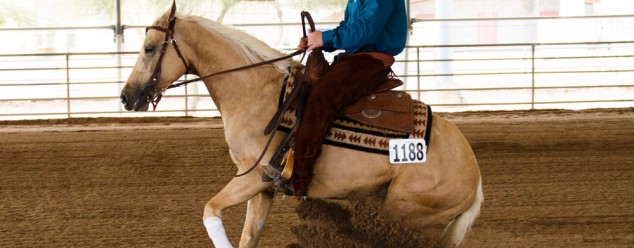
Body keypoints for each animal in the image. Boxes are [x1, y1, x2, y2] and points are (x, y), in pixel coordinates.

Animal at [121, 2, 482, 247]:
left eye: (149, 48)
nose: (126, 97)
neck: (254, 91)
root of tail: (474, 175)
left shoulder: (251, 176)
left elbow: (210, 210)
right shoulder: (263, 188)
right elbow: (248, 236)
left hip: (405, 213)